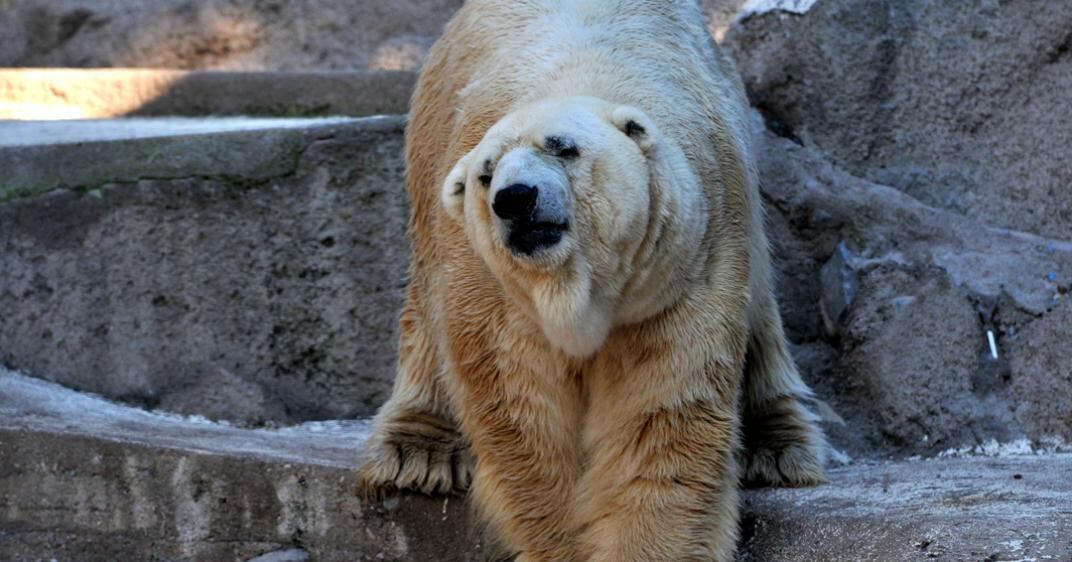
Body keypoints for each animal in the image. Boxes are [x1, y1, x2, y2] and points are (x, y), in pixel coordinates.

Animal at [355, 2, 823, 557]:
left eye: (565, 148)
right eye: (486, 174)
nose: (516, 198)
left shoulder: (684, 264)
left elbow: (660, 415)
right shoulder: (495, 292)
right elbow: (526, 420)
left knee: (763, 305)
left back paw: (780, 450)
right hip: (429, 150)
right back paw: (417, 453)